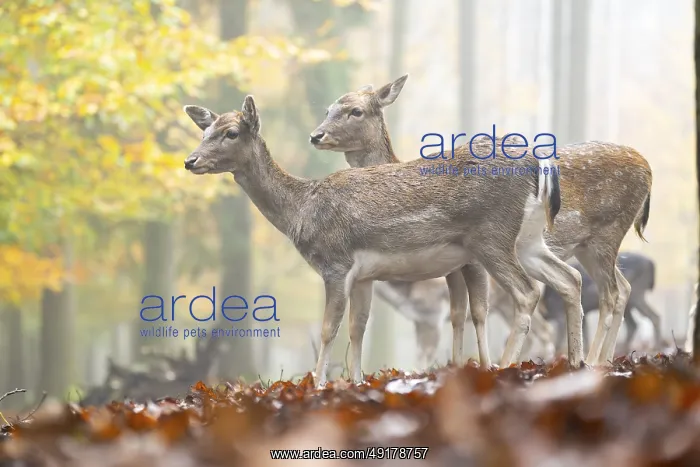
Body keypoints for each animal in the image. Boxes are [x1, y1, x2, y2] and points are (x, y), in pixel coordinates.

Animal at [182, 94, 578, 388]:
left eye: (231, 132)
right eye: (204, 131)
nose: (190, 160)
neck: (302, 212)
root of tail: (539, 164)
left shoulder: (336, 263)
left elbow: (329, 329)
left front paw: (317, 385)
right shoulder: (364, 275)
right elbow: (358, 328)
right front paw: (356, 384)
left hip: (491, 236)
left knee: (528, 292)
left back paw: (506, 367)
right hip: (528, 239)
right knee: (568, 279)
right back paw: (575, 363)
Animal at [309, 73, 652, 366]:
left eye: (356, 111)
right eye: (328, 109)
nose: (316, 135)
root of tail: (647, 168)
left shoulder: (467, 264)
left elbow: (475, 312)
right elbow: (458, 314)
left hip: (605, 233)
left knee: (610, 293)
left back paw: (592, 361)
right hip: (582, 246)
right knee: (608, 286)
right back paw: (587, 360)